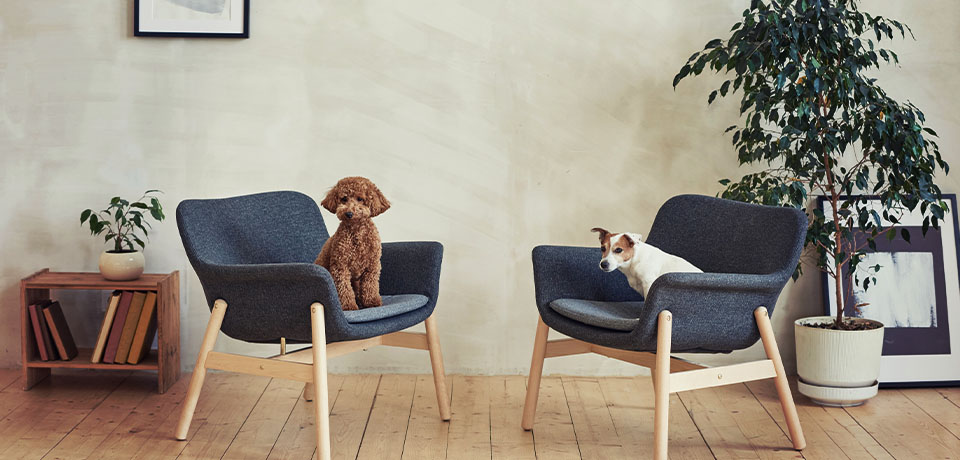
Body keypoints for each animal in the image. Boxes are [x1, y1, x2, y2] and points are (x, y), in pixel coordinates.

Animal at [316, 178, 390, 310]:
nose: (349, 213)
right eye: (344, 199)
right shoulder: (340, 265)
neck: (357, 230)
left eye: (360, 199)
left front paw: (372, 302)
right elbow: (344, 288)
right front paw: (348, 305)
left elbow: (370, 285)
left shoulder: (372, 265)